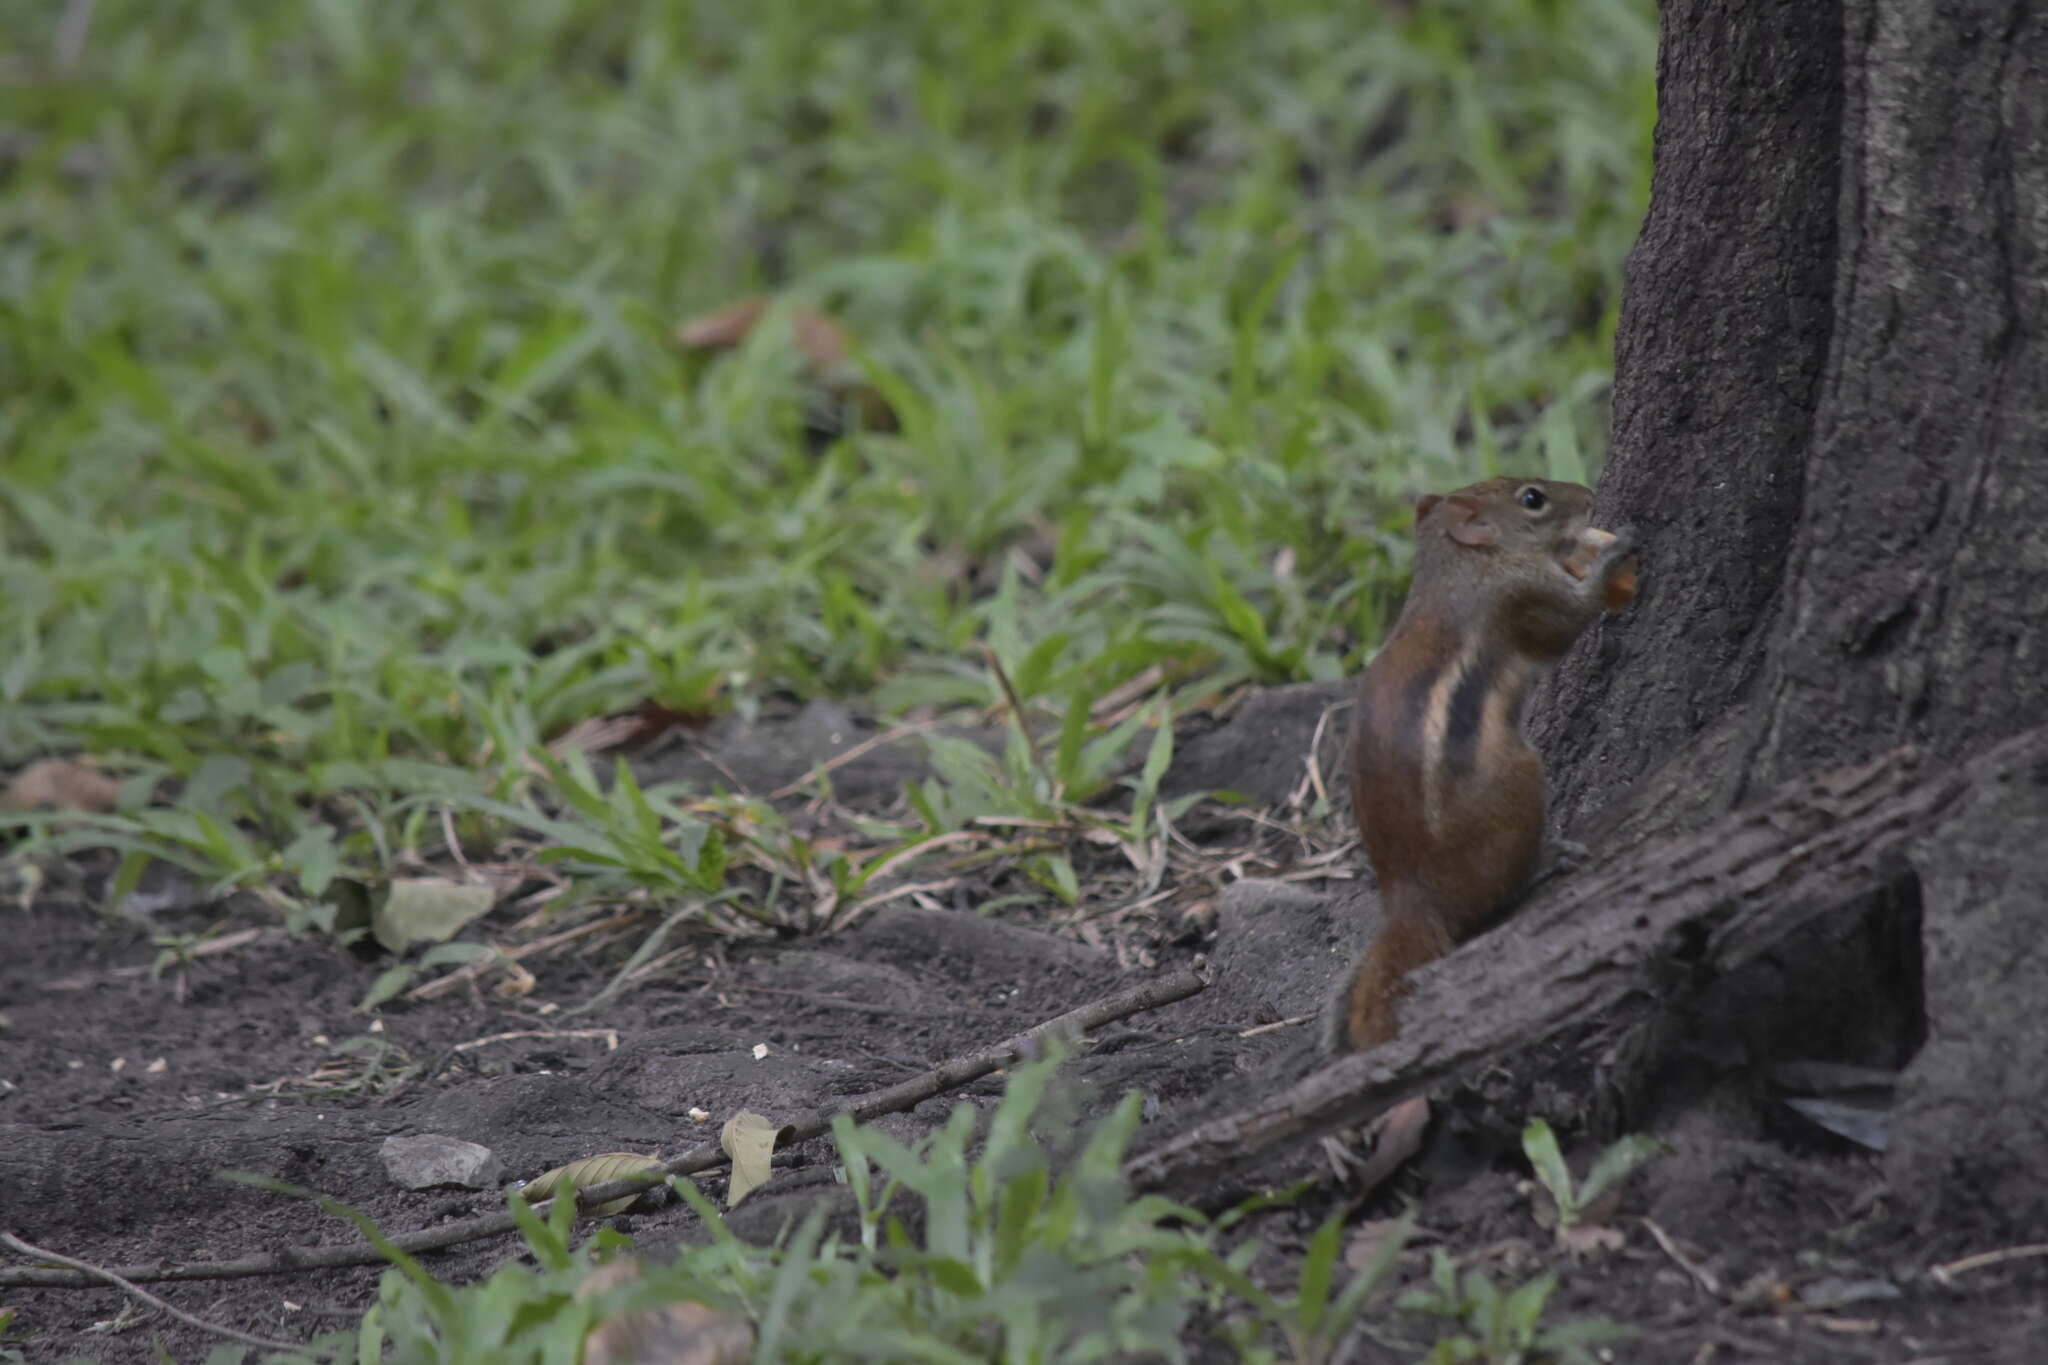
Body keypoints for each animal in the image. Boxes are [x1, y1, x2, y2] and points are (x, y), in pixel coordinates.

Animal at [1327, 480, 1630, 1055]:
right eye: (1533, 498)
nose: (1588, 495)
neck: (1460, 564)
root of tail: (1411, 900)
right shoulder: (1525, 595)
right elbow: (1570, 619)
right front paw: (1614, 556)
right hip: (1520, 781)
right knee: (1497, 894)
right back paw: (1547, 860)